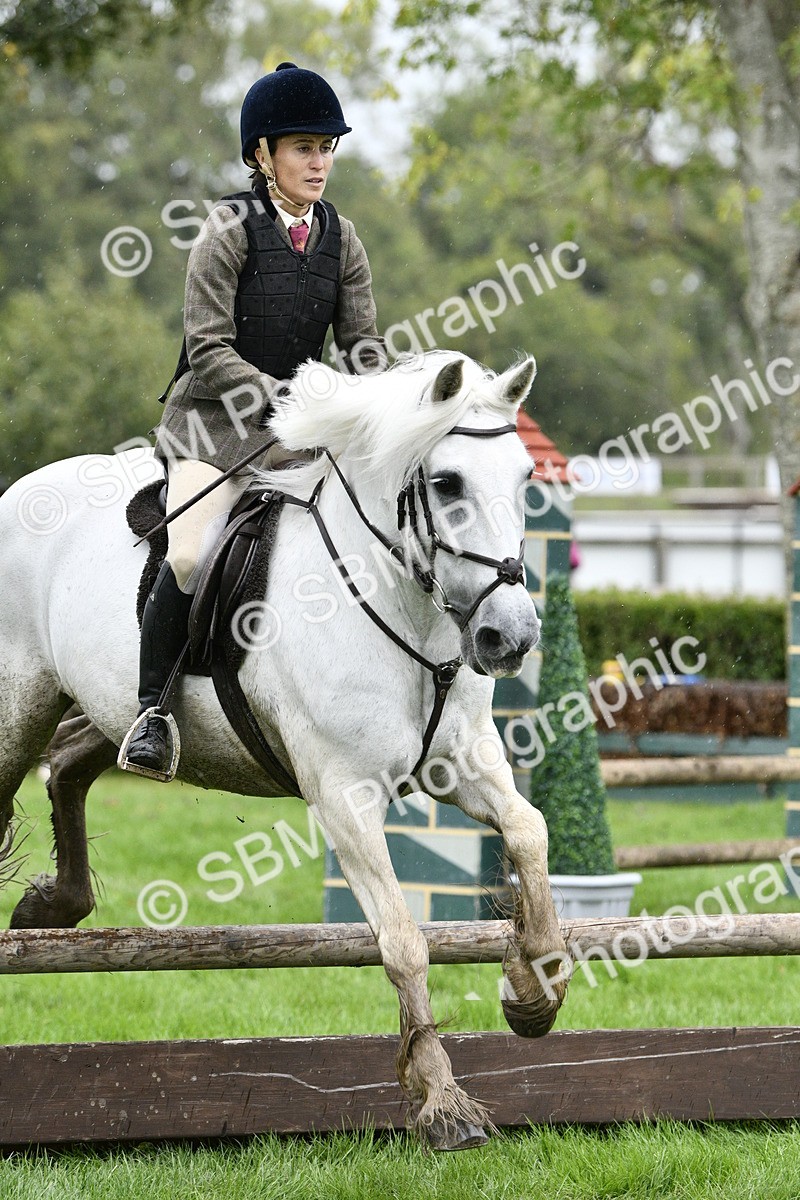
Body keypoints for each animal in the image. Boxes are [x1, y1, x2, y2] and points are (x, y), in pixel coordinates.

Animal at [0, 350, 569, 1150]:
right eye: (448, 482)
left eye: (524, 479)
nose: (510, 637)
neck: (404, 608)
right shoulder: (345, 797)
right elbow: (403, 940)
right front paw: (441, 1103)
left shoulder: (463, 763)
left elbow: (530, 831)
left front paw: (533, 993)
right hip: (18, 705)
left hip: (103, 706)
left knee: (73, 763)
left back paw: (54, 904)